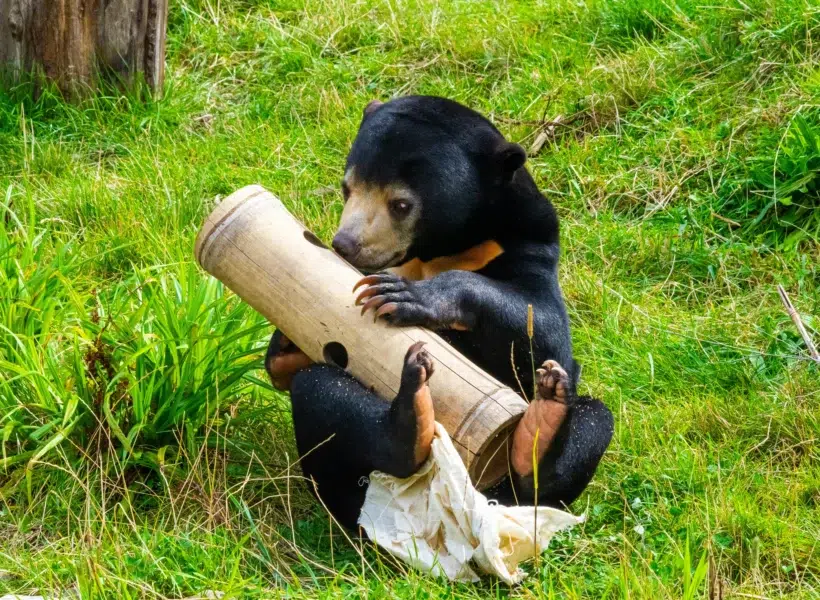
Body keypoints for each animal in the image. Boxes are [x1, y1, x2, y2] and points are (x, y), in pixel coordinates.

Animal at [265, 95, 614, 532]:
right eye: (347, 188)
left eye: (400, 204)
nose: (345, 244)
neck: (439, 251)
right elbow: (288, 367)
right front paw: (285, 336)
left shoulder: (530, 244)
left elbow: (544, 328)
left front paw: (404, 296)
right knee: (321, 390)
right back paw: (409, 424)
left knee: (591, 423)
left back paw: (541, 425)